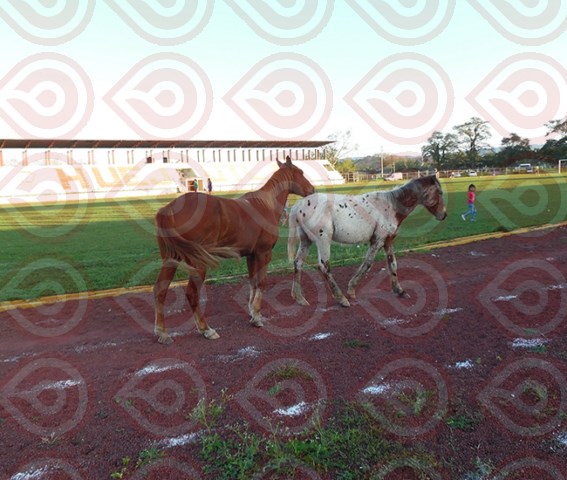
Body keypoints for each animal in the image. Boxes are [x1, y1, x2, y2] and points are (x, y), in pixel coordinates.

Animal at [153, 156, 315, 345]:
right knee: (192, 294)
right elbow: (261, 282)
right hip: (198, 264)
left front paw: (252, 312)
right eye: (300, 172)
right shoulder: (264, 253)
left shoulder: (251, 255)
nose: (312, 190)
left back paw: (162, 333)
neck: (265, 205)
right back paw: (206, 329)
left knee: (160, 291)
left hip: (170, 260)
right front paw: (257, 317)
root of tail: (168, 209)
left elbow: (253, 282)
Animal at [287, 175, 447, 307]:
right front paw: (351, 289)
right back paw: (341, 299)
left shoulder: (388, 241)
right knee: (324, 267)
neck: (391, 206)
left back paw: (299, 298)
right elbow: (368, 263)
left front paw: (400, 290)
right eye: (440, 192)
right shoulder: (378, 240)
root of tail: (298, 206)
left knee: (298, 263)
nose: (444, 215)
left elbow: (393, 264)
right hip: (323, 240)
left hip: (306, 241)